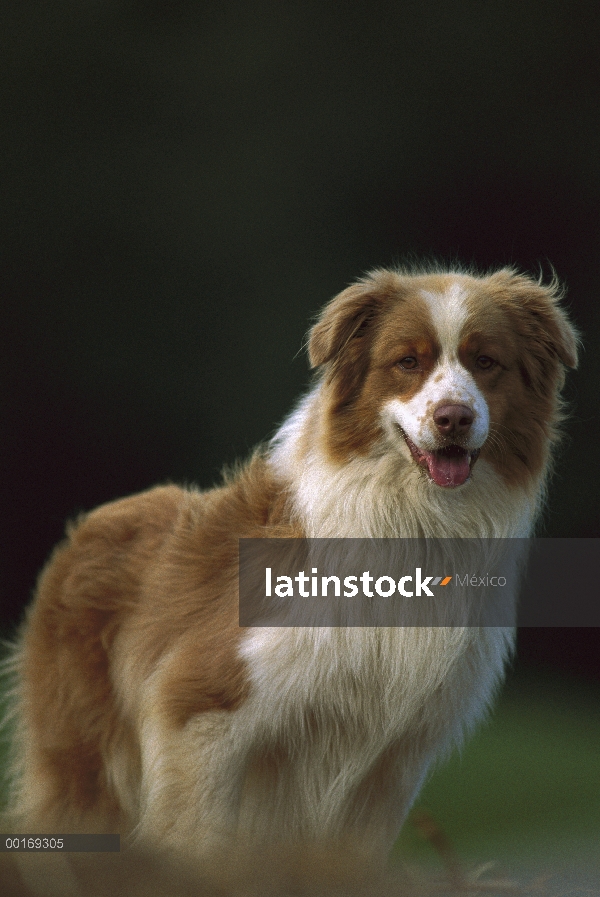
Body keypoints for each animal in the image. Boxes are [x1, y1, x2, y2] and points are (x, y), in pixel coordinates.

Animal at [2, 266, 580, 860]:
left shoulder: (391, 760)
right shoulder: (198, 707)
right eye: (407, 362)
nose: (454, 418)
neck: (415, 524)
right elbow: (198, 844)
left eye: (486, 361)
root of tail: (87, 525)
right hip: (84, 769)